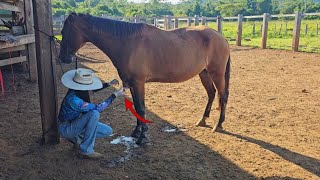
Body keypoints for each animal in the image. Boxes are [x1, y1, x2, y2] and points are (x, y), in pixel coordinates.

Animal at [59, 13, 230, 144]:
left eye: (65, 32)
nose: (62, 58)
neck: (127, 42)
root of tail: (220, 36)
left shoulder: (138, 83)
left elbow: (141, 108)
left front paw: (142, 137)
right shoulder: (131, 84)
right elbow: (136, 106)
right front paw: (136, 132)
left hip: (217, 73)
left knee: (222, 96)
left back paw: (218, 125)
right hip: (204, 73)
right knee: (211, 93)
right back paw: (203, 120)